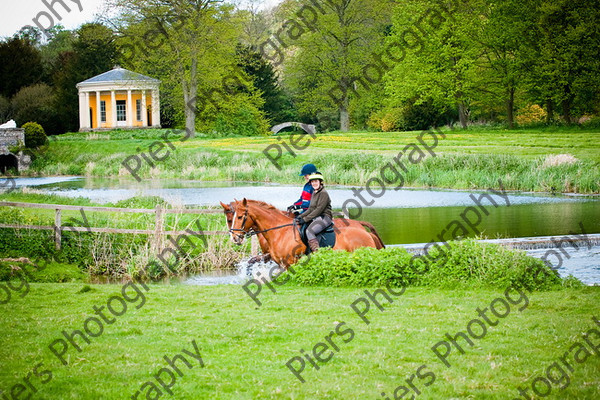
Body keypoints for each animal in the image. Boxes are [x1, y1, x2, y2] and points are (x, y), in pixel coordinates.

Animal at [227, 198, 382, 268]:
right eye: (231, 218)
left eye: (239, 217)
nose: (235, 238)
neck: (279, 231)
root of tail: (367, 234)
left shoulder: (290, 263)